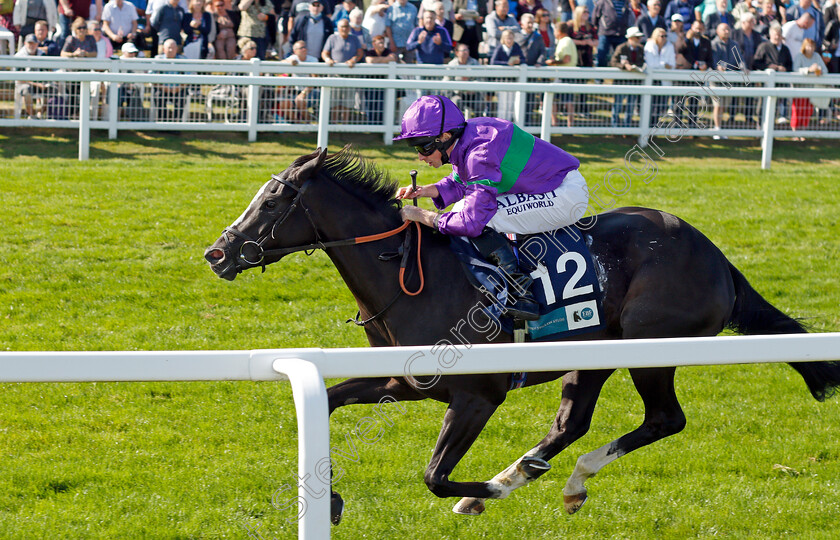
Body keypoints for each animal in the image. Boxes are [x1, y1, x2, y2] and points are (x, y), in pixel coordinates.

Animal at [205, 147, 840, 524]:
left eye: (273, 200)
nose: (217, 253)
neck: (411, 274)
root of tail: (716, 256)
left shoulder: (477, 394)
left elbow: (433, 476)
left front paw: (480, 492)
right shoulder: (402, 381)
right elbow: (332, 400)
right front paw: (331, 497)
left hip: (651, 349)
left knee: (665, 419)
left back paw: (540, 479)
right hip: (594, 355)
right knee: (572, 423)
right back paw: (537, 473)